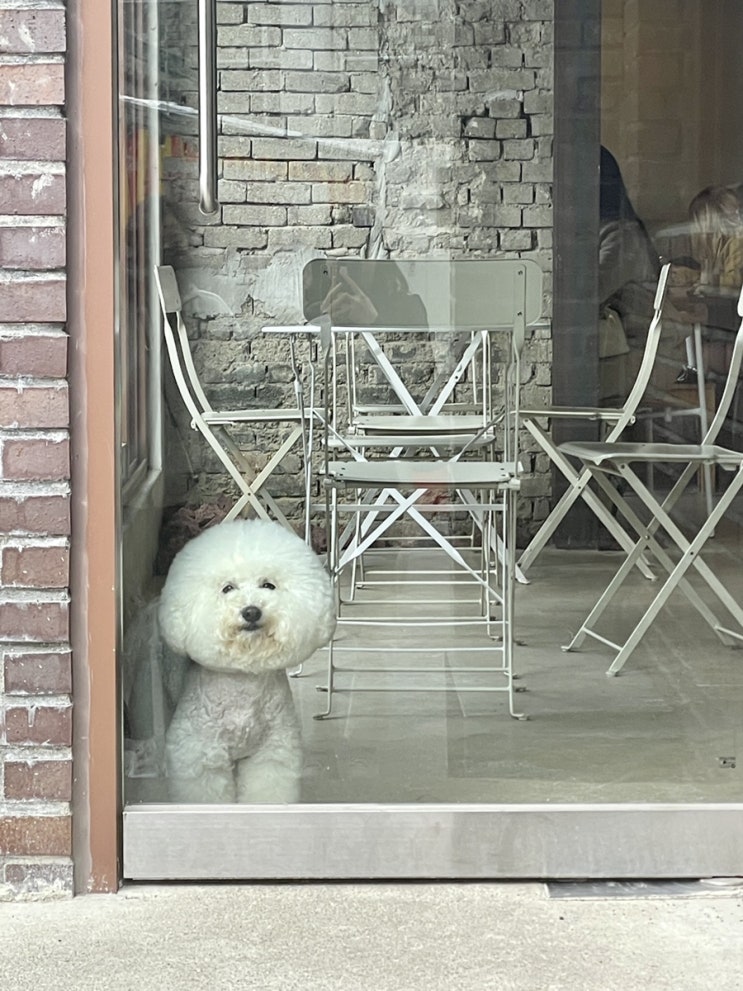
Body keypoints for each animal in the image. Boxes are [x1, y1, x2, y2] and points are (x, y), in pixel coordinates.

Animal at [158, 520, 336, 808]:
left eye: (268, 585)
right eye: (228, 588)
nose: (251, 611)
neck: (243, 680)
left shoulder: (272, 754)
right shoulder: (199, 757)